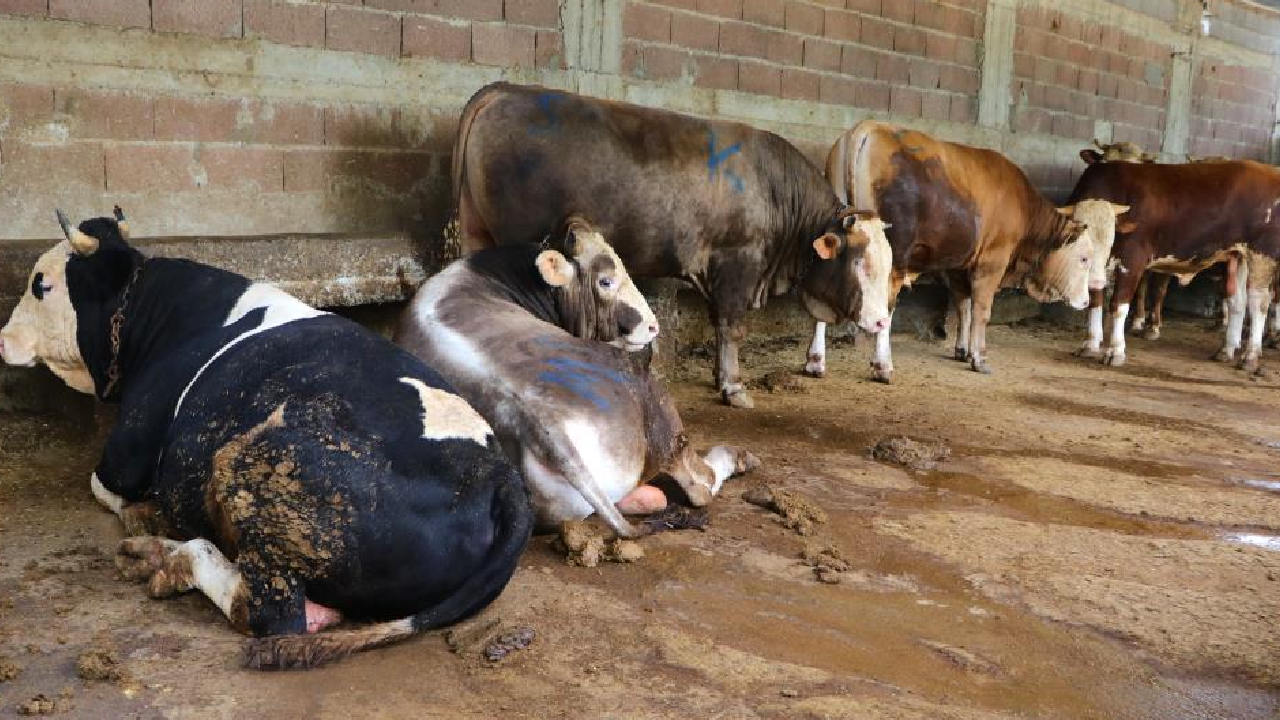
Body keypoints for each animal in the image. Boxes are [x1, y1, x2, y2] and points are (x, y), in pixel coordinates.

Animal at [0, 210, 532, 671]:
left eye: (41, 285)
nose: (2, 337)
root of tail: (499, 475)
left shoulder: (127, 451)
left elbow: (105, 487)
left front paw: (143, 515)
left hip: (256, 463)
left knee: (268, 610)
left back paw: (166, 556)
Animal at [394, 221, 757, 535]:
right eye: (606, 281)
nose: (653, 326)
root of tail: (540, 422)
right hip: (656, 407)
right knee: (699, 484)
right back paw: (740, 458)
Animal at [450, 81, 890, 407]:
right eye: (861, 263)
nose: (882, 321)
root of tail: (507, 90)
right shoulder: (738, 264)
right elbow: (732, 326)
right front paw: (734, 388)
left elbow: (718, 325)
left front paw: (719, 377)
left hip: (476, 232)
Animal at [819, 121, 1111, 381]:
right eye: (1084, 258)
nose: (1087, 300)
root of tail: (868, 128)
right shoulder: (992, 262)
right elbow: (981, 310)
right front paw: (979, 357)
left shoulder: (958, 266)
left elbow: (963, 306)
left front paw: (963, 350)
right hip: (893, 260)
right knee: (885, 309)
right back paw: (883, 367)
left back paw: (817, 363)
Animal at [1064, 157, 1280, 368]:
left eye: (1111, 236)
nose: (1095, 278)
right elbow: (1095, 301)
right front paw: (1090, 345)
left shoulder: (1132, 261)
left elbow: (1118, 304)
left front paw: (1115, 351)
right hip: (1238, 255)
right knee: (1237, 301)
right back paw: (1226, 350)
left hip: (1262, 254)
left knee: (1259, 301)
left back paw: (1250, 356)